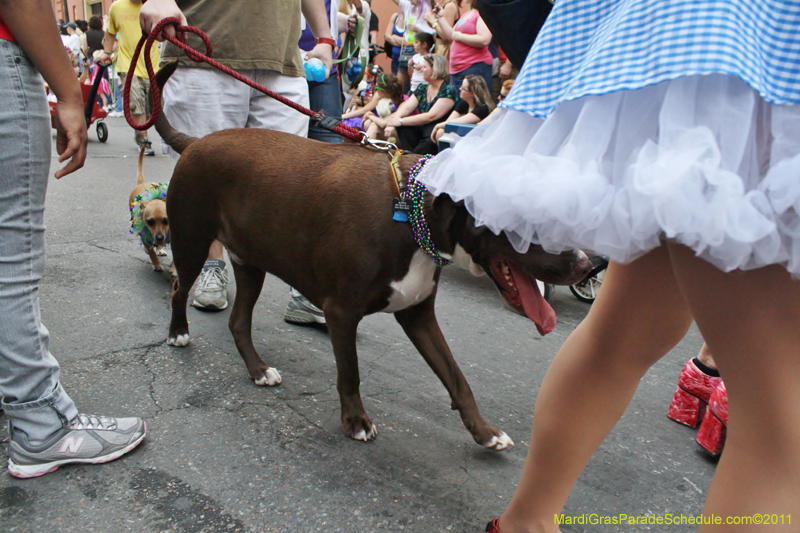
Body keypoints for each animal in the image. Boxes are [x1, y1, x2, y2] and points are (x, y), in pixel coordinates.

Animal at [156, 60, 592, 446]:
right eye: (528, 220)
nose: (587, 264)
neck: (411, 215)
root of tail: (196, 141)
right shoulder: (341, 313)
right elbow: (350, 372)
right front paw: (356, 421)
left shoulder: (418, 314)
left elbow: (457, 378)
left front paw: (484, 432)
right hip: (191, 242)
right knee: (179, 287)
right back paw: (178, 333)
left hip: (250, 263)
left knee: (238, 321)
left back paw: (258, 369)